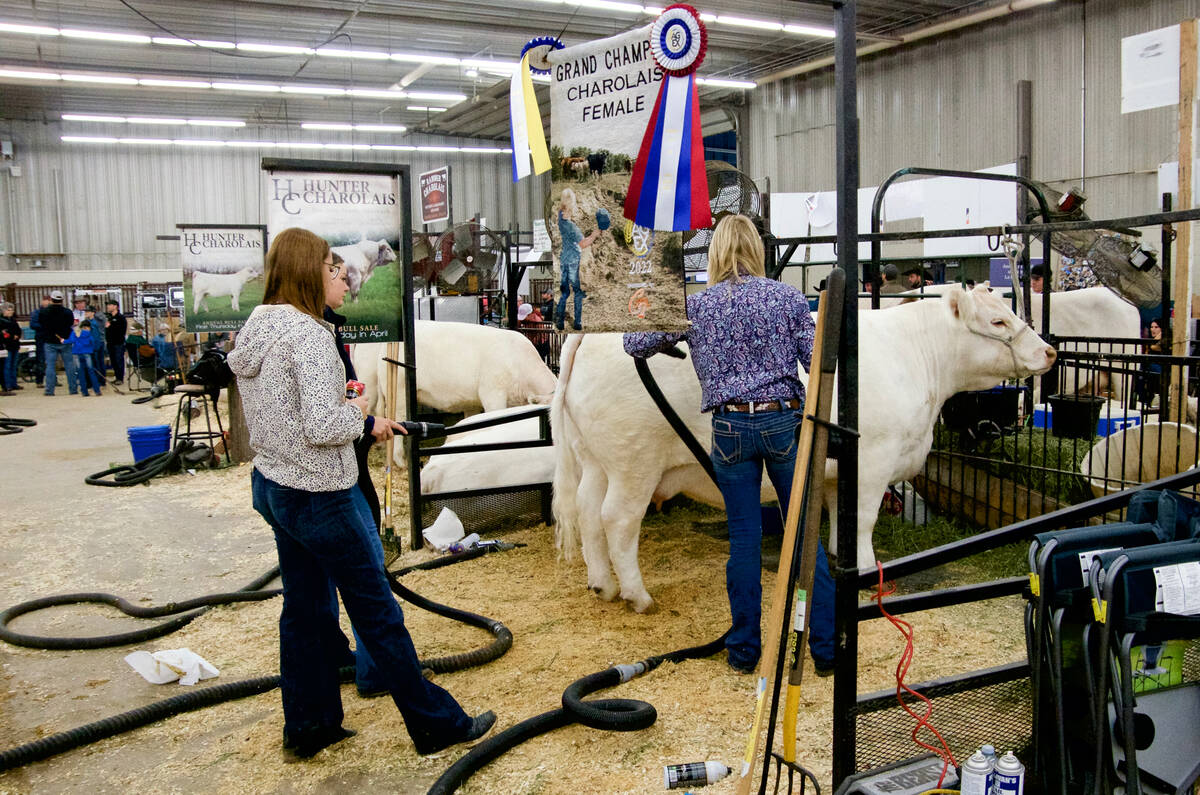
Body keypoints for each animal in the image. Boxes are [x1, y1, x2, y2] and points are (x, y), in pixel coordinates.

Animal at [551, 285, 1057, 613]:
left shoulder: (837, 470)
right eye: (997, 321)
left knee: (587, 512)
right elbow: (864, 519)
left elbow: (839, 520)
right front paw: (868, 572)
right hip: (634, 464)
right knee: (616, 520)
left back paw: (602, 585)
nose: (1049, 352)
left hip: (596, 460)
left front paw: (838, 560)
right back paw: (637, 596)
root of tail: (593, 332)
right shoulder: (874, 460)